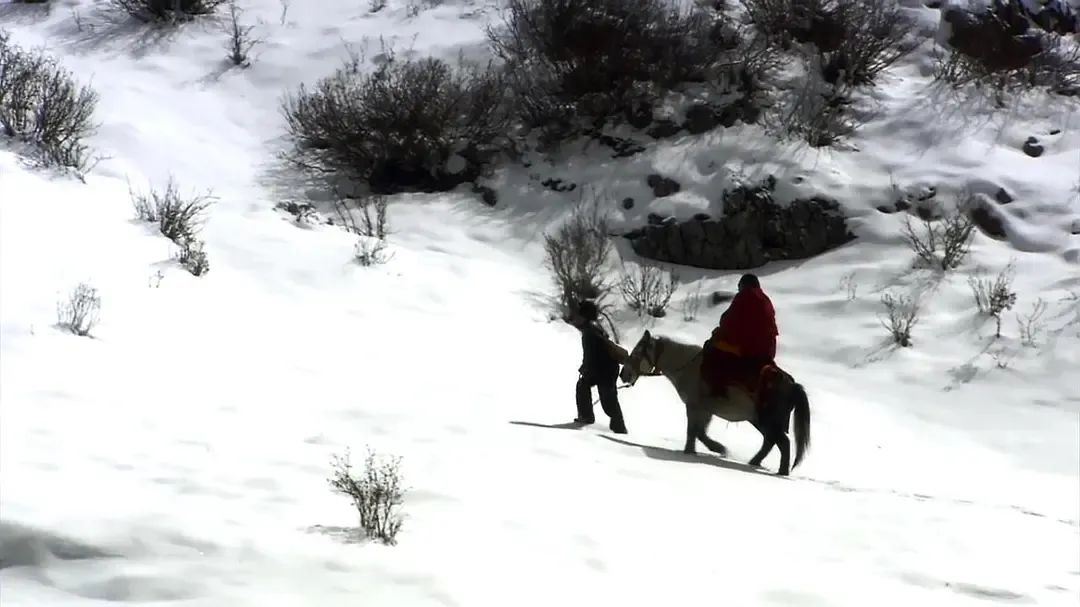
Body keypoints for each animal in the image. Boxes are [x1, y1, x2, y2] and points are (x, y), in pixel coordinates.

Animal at [617, 328, 812, 475]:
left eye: (636, 353)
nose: (623, 374)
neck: (689, 366)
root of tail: (792, 384)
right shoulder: (706, 410)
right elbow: (700, 432)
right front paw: (715, 449)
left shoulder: (694, 406)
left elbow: (694, 431)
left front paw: (695, 451)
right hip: (759, 420)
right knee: (771, 442)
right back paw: (755, 462)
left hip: (767, 420)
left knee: (783, 443)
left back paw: (781, 471)